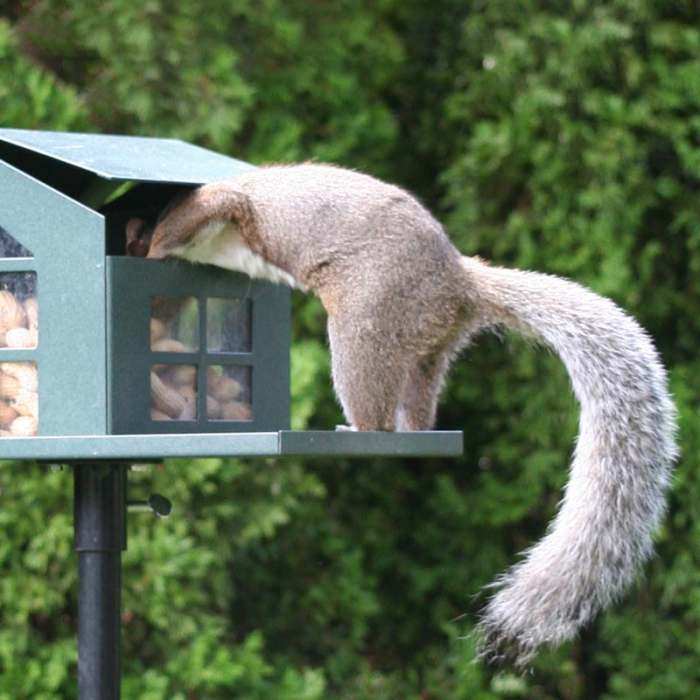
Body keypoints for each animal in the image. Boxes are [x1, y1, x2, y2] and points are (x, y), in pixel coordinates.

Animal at [145, 163, 679, 665]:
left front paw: (154, 248)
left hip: (365, 323)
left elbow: (205, 212)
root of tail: (460, 280)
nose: (141, 250)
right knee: (418, 398)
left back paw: (357, 427)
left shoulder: (226, 205)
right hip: (429, 349)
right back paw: (414, 429)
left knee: (374, 406)